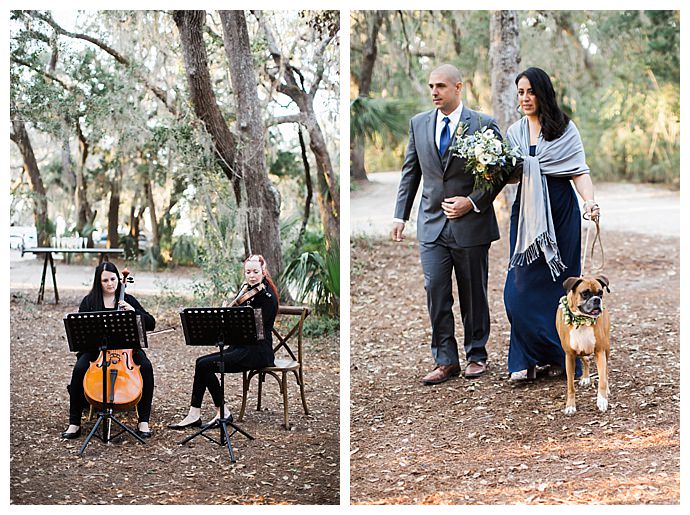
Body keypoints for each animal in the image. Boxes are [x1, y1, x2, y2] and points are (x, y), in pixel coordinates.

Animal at [552, 274, 608, 416]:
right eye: (585, 294)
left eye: (601, 293)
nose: (596, 300)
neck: (582, 321)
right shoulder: (570, 356)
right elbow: (570, 386)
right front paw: (570, 406)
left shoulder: (600, 352)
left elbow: (602, 380)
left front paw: (602, 400)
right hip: (581, 350)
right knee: (586, 360)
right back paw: (586, 377)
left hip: (606, 348)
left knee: (606, 372)